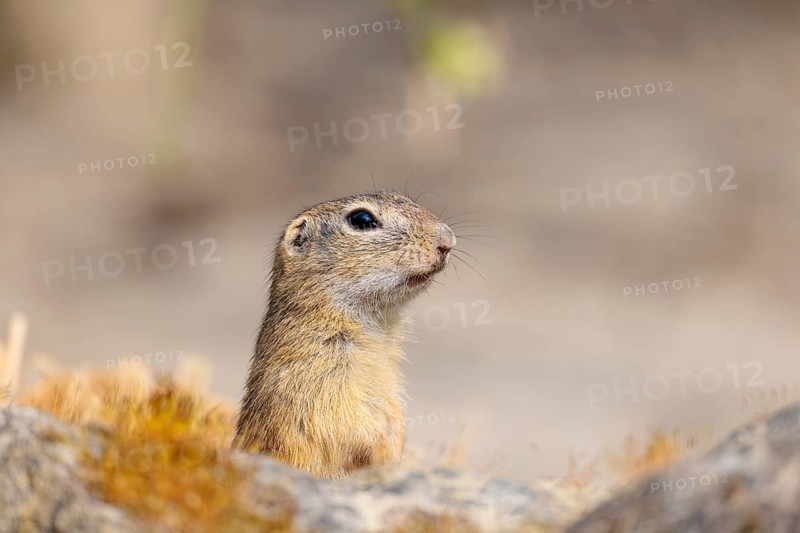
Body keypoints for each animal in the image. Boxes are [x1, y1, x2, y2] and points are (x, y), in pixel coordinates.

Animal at [233, 191, 456, 478]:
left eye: (405, 198)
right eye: (362, 219)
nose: (447, 240)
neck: (378, 328)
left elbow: (394, 420)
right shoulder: (318, 377)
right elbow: (344, 425)